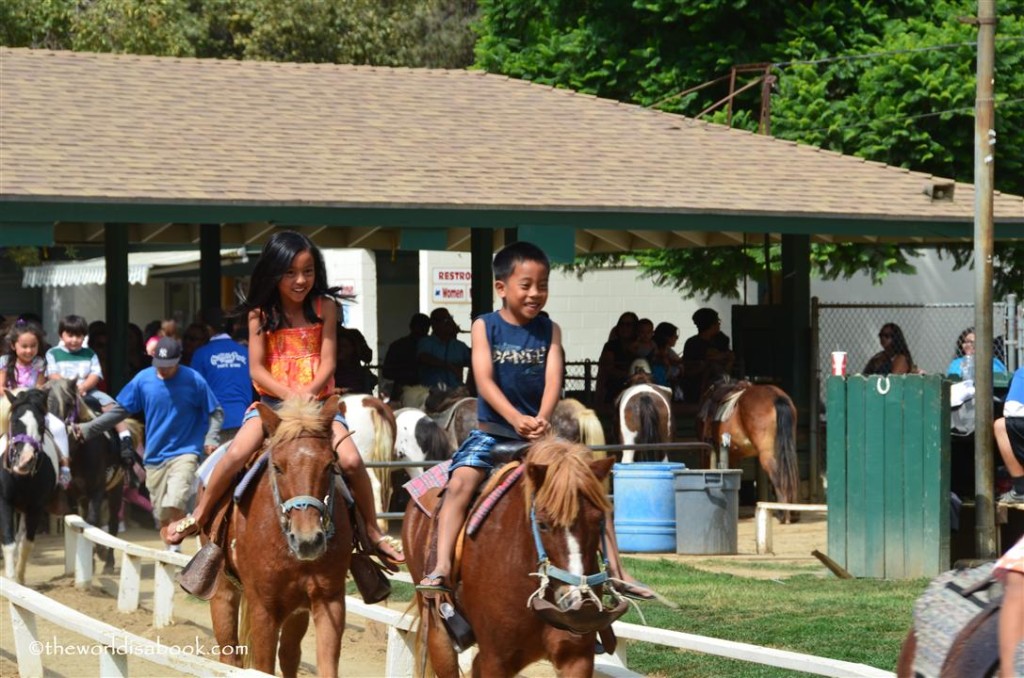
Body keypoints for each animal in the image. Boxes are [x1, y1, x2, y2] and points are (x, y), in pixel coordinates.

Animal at [205, 399, 354, 678]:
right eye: (277, 467)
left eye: (330, 465)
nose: (308, 540)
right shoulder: (264, 608)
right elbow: (263, 666)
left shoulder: (328, 601)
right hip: (223, 589)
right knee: (229, 654)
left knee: (289, 654)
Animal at [403, 440, 618, 678]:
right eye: (542, 524)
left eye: (599, 519)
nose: (581, 607)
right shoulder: (496, 660)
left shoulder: (576, 657)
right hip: (438, 634)